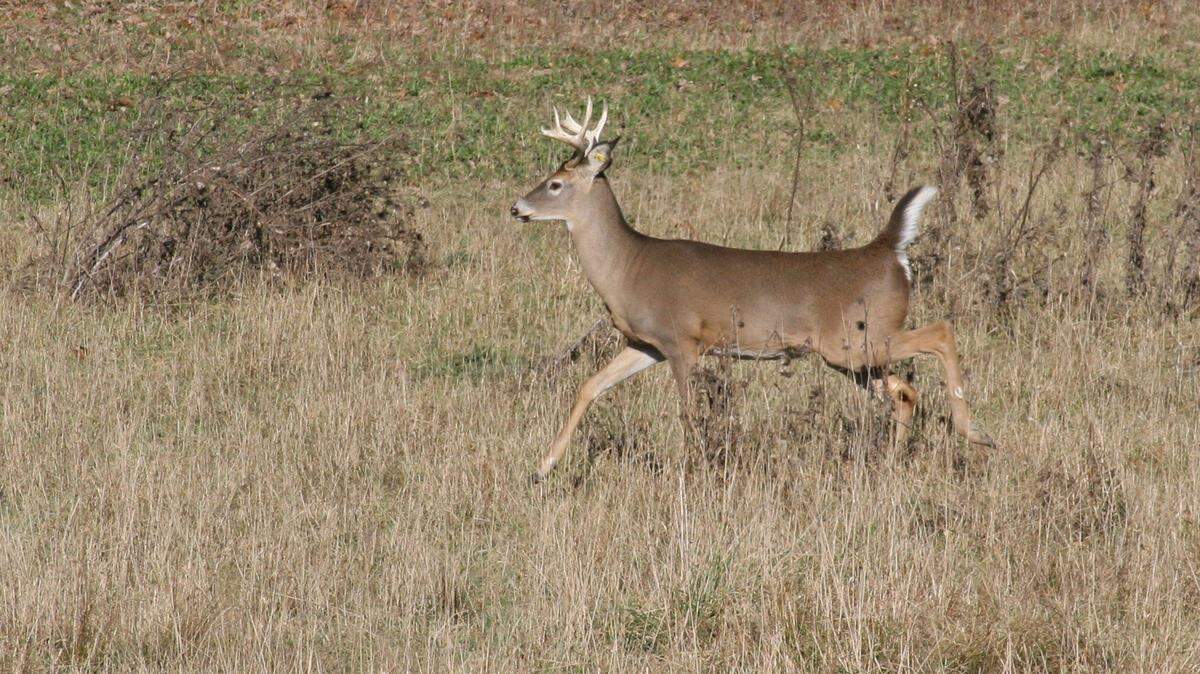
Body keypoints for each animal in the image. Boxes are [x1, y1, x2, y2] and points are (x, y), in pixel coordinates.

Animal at [510, 98, 994, 482]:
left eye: (555, 183)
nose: (516, 207)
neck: (628, 268)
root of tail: (889, 250)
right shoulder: (645, 343)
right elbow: (589, 387)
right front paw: (542, 467)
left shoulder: (683, 340)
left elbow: (689, 412)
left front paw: (696, 470)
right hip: (852, 356)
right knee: (905, 392)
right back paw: (894, 462)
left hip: (856, 340)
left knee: (940, 333)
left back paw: (977, 433)